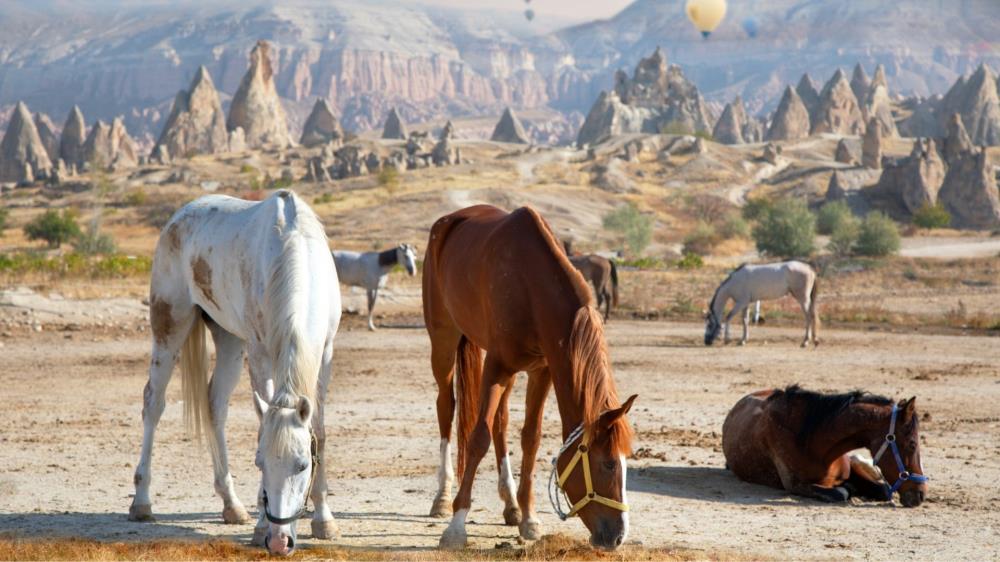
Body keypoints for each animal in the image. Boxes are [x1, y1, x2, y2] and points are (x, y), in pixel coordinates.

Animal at [128, 190, 341, 556]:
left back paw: (232, 505)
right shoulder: (259, 354)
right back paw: (141, 502)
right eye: (260, 463)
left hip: (228, 339)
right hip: (170, 325)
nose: (279, 541)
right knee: (153, 404)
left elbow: (321, 433)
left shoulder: (324, 355)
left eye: (302, 465)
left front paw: (323, 520)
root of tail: (178, 217)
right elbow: (262, 426)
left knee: (215, 406)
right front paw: (261, 526)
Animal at [423, 205, 637, 550]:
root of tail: (451, 220)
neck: (531, 286)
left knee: (500, 422)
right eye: (608, 463)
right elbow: (478, 438)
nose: (617, 536)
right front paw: (457, 525)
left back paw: (510, 504)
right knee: (447, 406)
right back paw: (442, 497)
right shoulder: (496, 365)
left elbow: (530, 438)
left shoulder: (541, 370)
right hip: (443, 341)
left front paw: (529, 518)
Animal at [722, 385, 927, 507]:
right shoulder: (796, 485)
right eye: (912, 444)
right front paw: (849, 489)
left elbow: (884, 490)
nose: (921, 495)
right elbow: (840, 493)